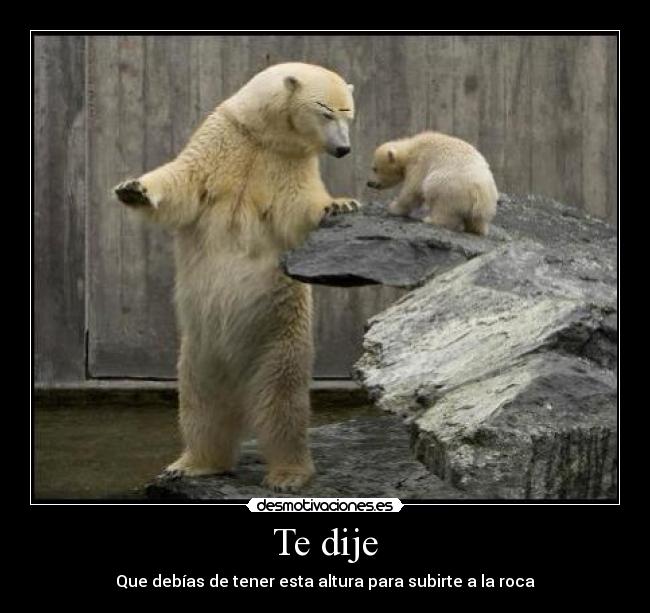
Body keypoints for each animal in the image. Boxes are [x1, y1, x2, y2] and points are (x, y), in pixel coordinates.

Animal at [113, 62, 360, 492]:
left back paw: (287, 474)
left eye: (349, 114)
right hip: (198, 352)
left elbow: (299, 207)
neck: (263, 135)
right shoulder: (223, 140)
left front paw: (339, 205)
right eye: (327, 111)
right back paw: (193, 463)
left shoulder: (288, 164)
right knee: (201, 406)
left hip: (279, 339)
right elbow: (183, 180)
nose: (343, 149)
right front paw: (133, 189)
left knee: (282, 406)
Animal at [366, 131, 498, 236]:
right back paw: (475, 229)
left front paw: (393, 208)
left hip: (449, 186)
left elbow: (413, 189)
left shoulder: (419, 162)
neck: (410, 149)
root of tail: (479, 194)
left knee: (439, 200)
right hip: (486, 206)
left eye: (374, 168)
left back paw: (430, 219)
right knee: (477, 221)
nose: (369, 183)